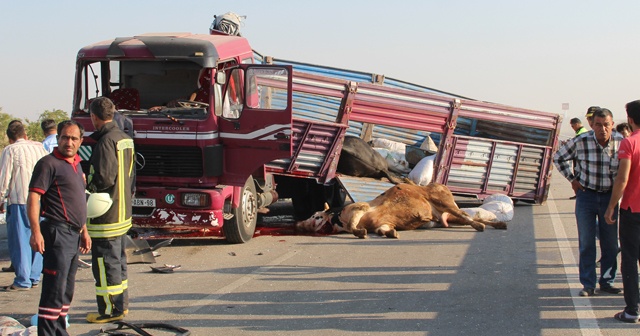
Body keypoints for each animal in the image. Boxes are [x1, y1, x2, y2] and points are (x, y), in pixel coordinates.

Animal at [296, 181, 510, 239]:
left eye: (316, 216)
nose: (299, 223)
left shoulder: (359, 208)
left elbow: (355, 225)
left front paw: (360, 232)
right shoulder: (383, 223)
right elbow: (383, 230)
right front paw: (391, 234)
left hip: (445, 203)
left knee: (468, 217)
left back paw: (481, 227)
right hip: (448, 216)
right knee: (467, 218)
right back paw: (499, 224)